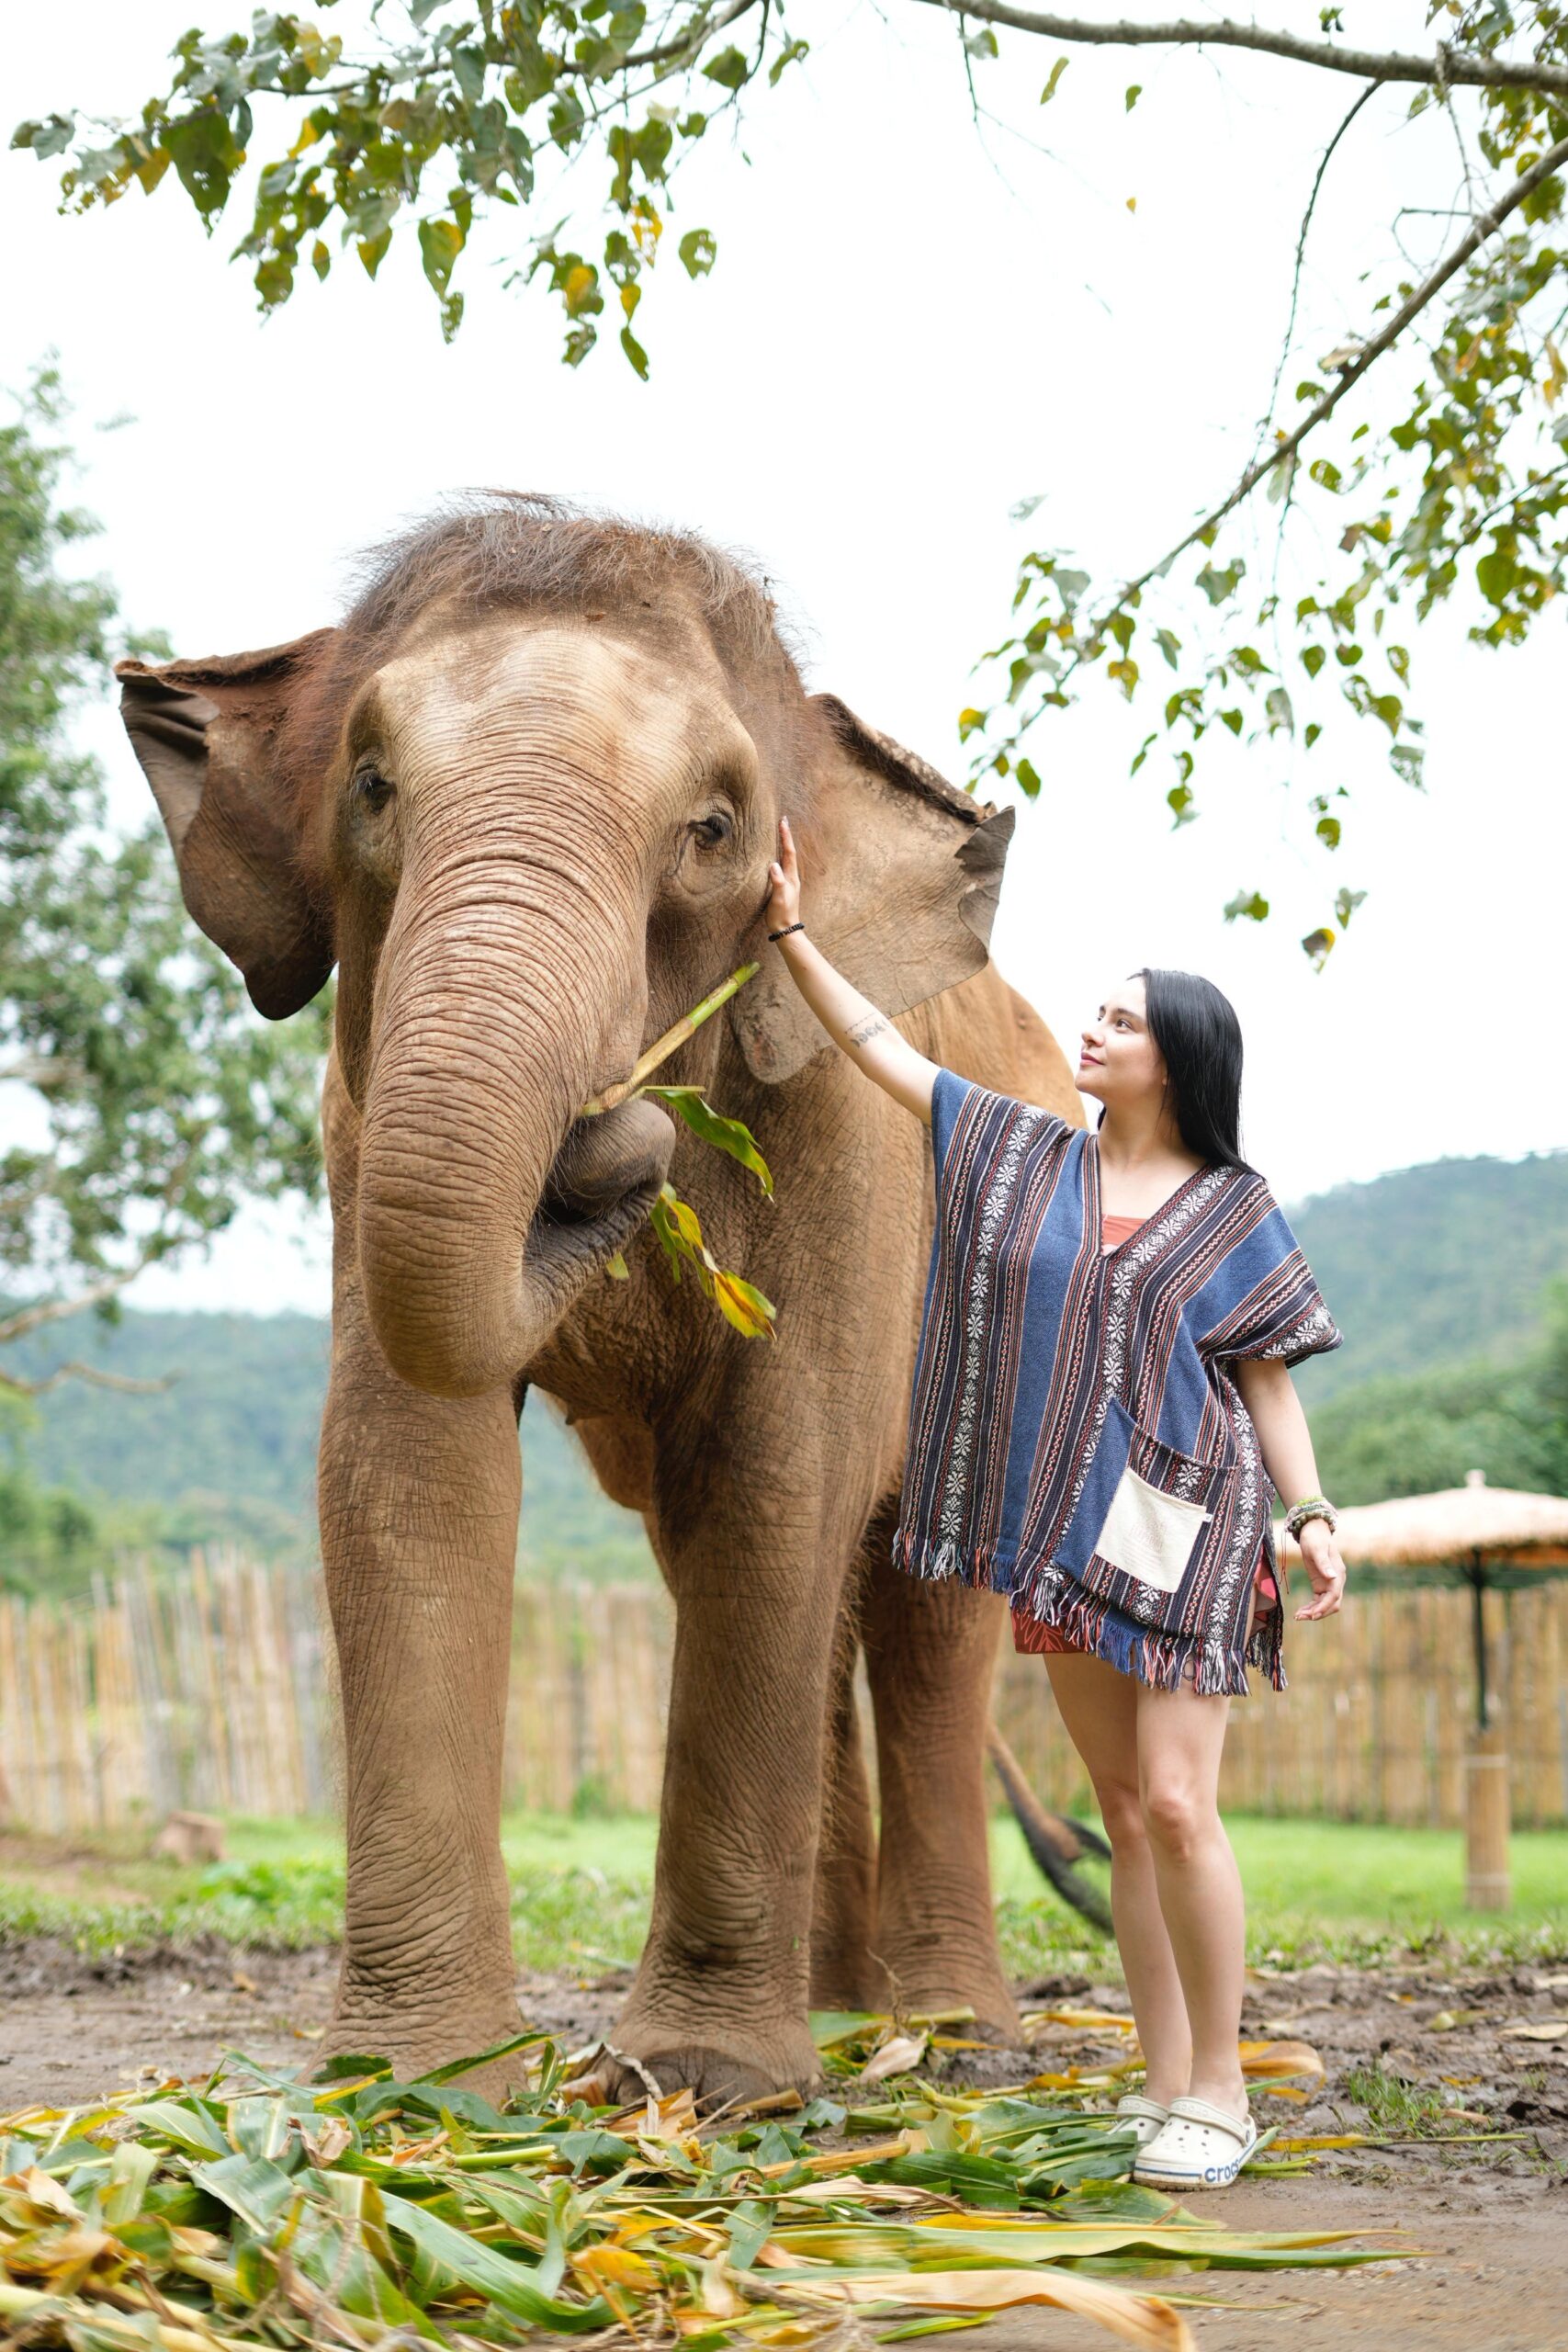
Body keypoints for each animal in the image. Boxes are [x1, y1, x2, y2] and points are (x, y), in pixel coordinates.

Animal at [116, 492, 1087, 2103]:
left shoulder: (840, 1124)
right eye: (370, 784)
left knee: (920, 1616)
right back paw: (840, 2013)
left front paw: (698, 2084)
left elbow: (777, 1463)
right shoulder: (353, 1127)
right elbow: (404, 1468)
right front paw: (415, 2089)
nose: (613, 1149)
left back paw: (947, 2040)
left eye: (714, 831)